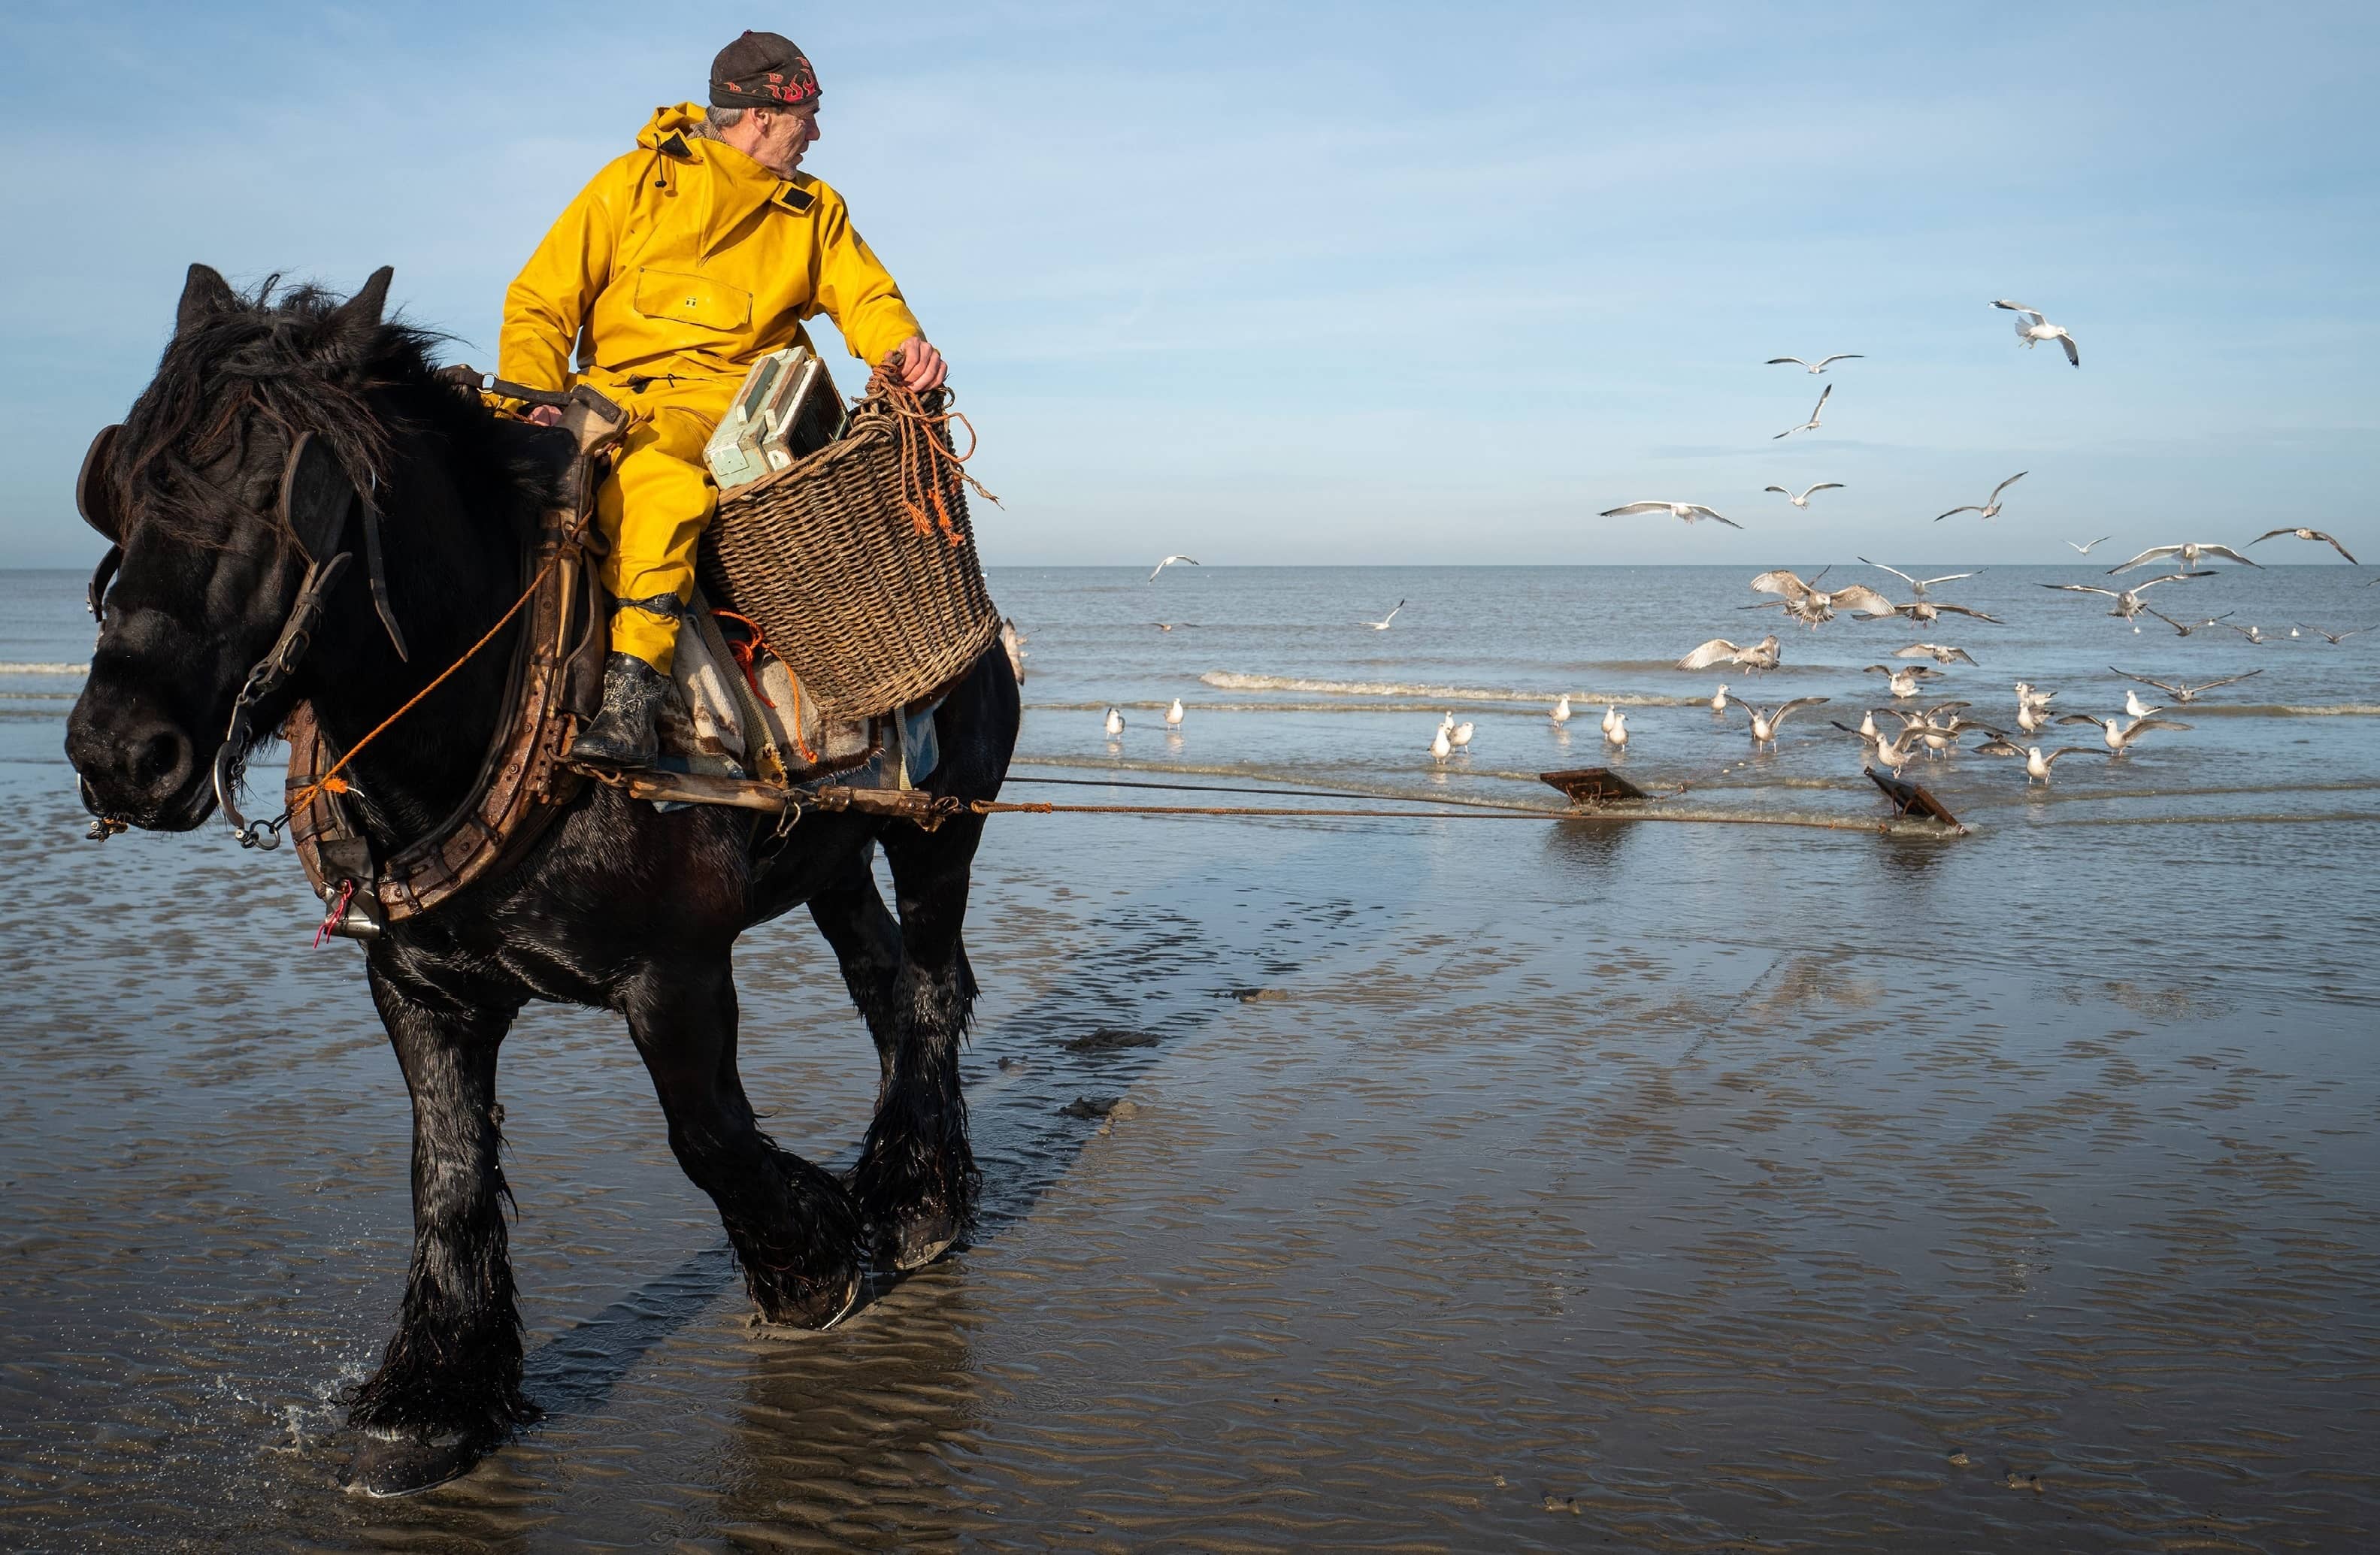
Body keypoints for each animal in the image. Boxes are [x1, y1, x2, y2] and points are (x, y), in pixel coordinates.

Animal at [62, 265, 1021, 1496]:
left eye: (281, 494)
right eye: (121, 485)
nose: (117, 750)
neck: (503, 700)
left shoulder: (676, 972)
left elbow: (707, 1136)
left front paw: (808, 1262)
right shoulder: (419, 986)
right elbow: (448, 1171)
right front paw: (435, 1393)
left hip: (941, 826)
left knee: (934, 987)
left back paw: (913, 1198)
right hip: (834, 852)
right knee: (886, 986)